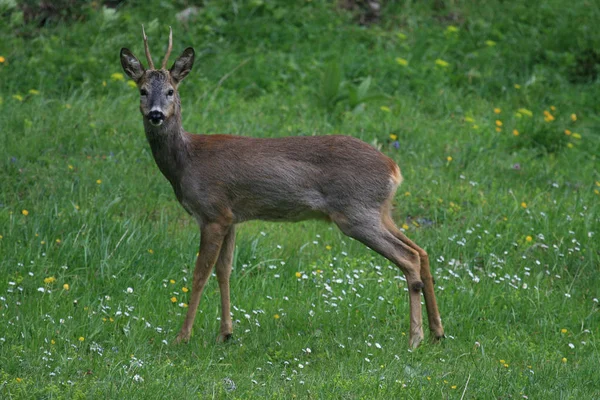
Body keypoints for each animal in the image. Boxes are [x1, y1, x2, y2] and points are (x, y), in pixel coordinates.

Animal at [119, 26, 442, 348]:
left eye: (171, 91)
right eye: (142, 90)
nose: (156, 114)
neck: (186, 161)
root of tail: (394, 169)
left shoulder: (212, 212)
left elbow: (201, 274)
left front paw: (182, 336)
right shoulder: (230, 217)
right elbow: (224, 271)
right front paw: (225, 333)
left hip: (356, 213)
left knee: (409, 258)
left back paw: (415, 338)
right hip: (380, 211)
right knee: (422, 251)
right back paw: (437, 331)